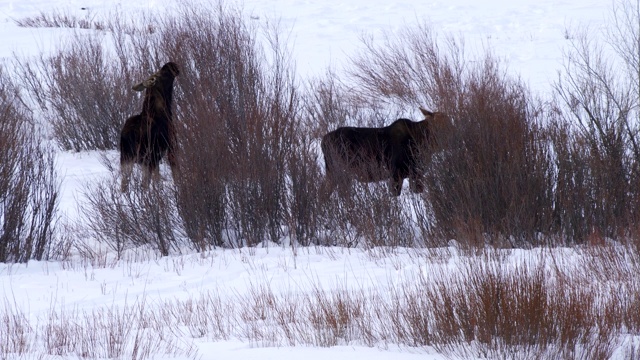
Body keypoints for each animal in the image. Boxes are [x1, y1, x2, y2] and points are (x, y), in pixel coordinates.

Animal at [120, 62, 179, 191]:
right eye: (163, 73)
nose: (171, 64)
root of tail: (127, 135)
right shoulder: (171, 146)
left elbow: (157, 180)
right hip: (147, 157)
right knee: (144, 184)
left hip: (127, 158)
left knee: (124, 183)